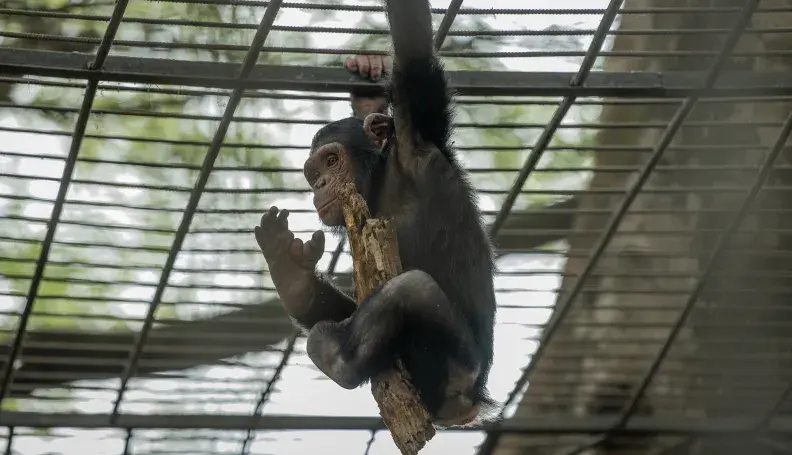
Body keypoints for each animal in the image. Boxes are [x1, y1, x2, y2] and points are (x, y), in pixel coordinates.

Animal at [254, 0, 497, 428]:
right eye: (314, 174)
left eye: (332, 161)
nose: (319, 185)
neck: (382, 179)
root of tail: (470, 406)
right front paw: (366, 80)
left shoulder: (418, 128)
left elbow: (413, 45)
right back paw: (292, 278)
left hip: (455, 375)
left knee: (412, 289)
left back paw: (336, 359)